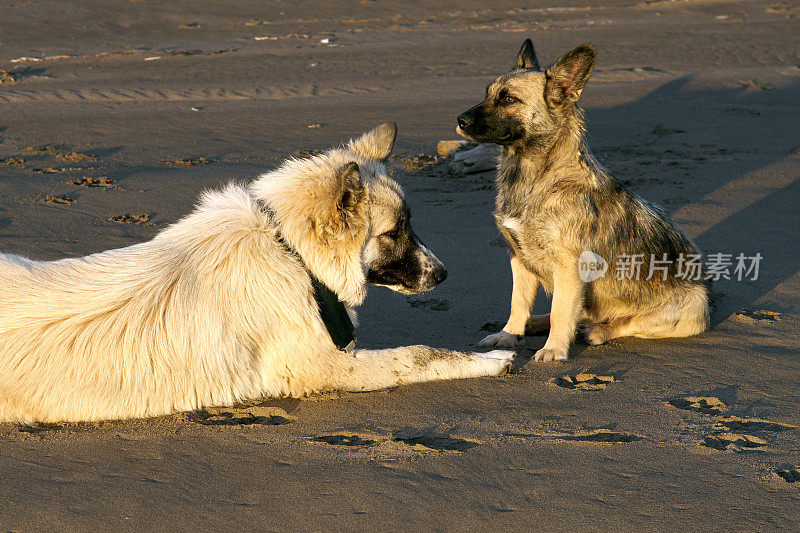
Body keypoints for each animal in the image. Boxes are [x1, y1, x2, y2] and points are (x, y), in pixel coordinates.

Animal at [0, 122, 512, 422]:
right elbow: (420, 354)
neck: (290, 251)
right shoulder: (325, 368)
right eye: (397, 230)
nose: (443, 274)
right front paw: (490, 360)